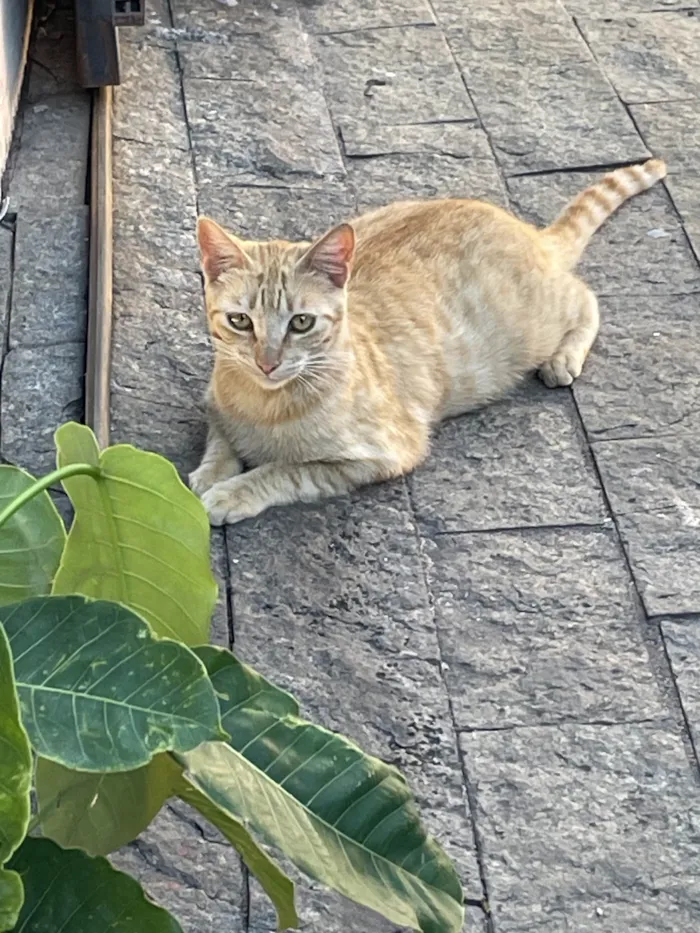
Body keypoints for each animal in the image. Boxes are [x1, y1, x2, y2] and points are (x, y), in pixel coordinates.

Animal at [191, 160, 668, 524]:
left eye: (301, 323)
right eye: (240, 320)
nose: (267, 363)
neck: (263, 405)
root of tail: (529, 232)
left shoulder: (379, 455)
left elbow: (286, 470)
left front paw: (232, 492)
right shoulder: (215, 406)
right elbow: (221, 440)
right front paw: (209, 474)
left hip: (540, 322)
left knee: (585, 296)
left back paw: (565, 356)